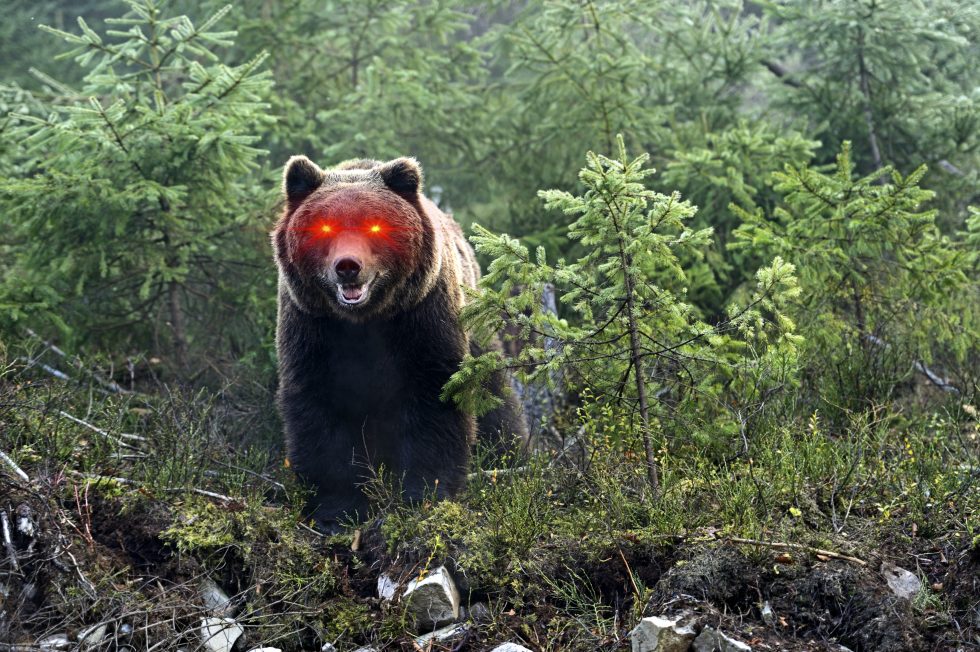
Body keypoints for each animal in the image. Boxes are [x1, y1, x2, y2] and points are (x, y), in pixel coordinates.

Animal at [272, 155, 527, 532]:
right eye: (325, 228)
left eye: (375, 227)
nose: (348, 266)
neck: (364, 319)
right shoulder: (312, 327)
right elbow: (319, 409)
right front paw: (336, 511)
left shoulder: (421, 318)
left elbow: (435, 397)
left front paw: (424, 495)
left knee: (495, 397)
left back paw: (510, 456)